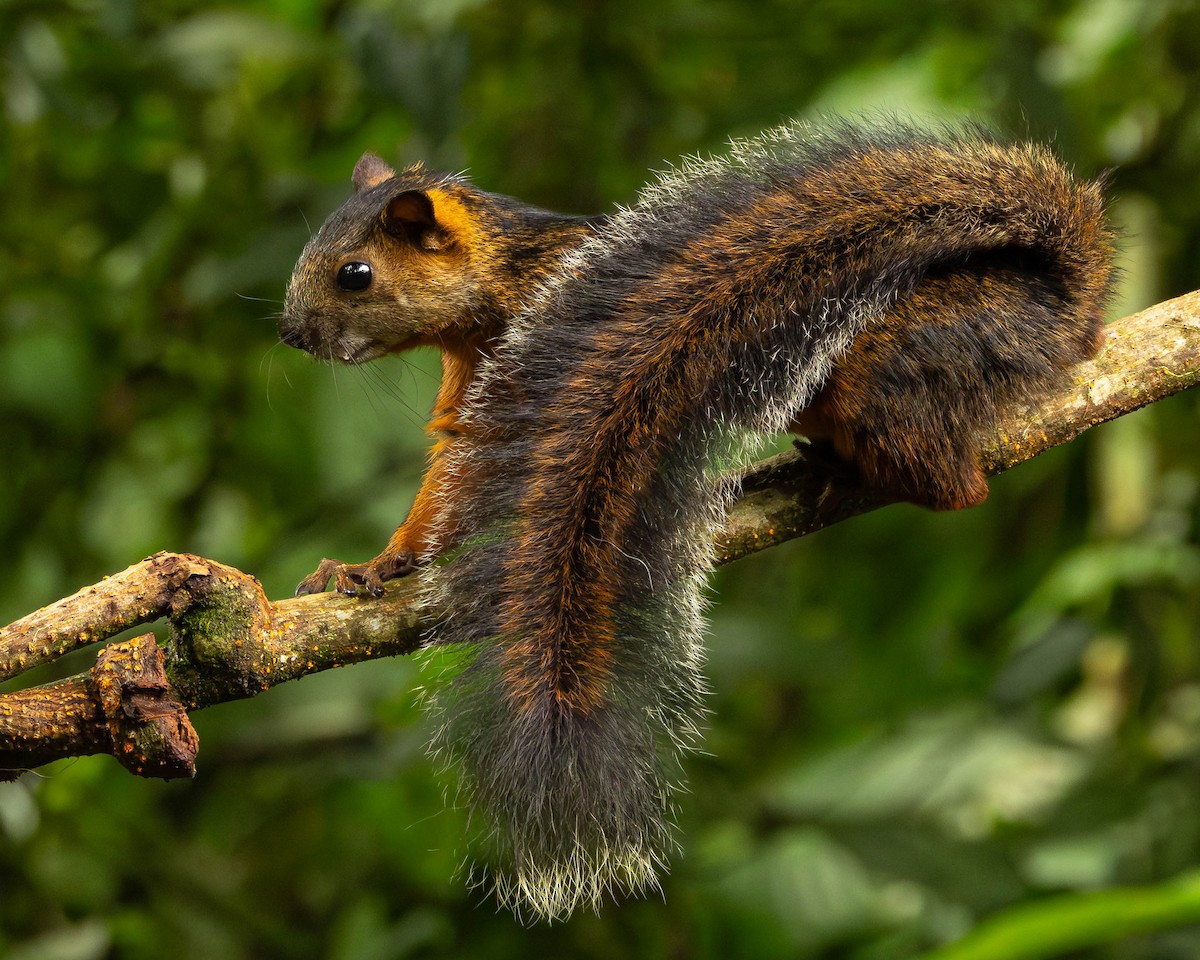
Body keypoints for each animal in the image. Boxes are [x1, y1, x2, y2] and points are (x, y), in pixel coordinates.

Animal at [279, 121, 1114, 920]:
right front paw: (376, 564)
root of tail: (1063, 316)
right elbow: (448, 480)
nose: (290, 335)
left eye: (356, 274)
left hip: (889, 376)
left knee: (956, 485)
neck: (507, 283)